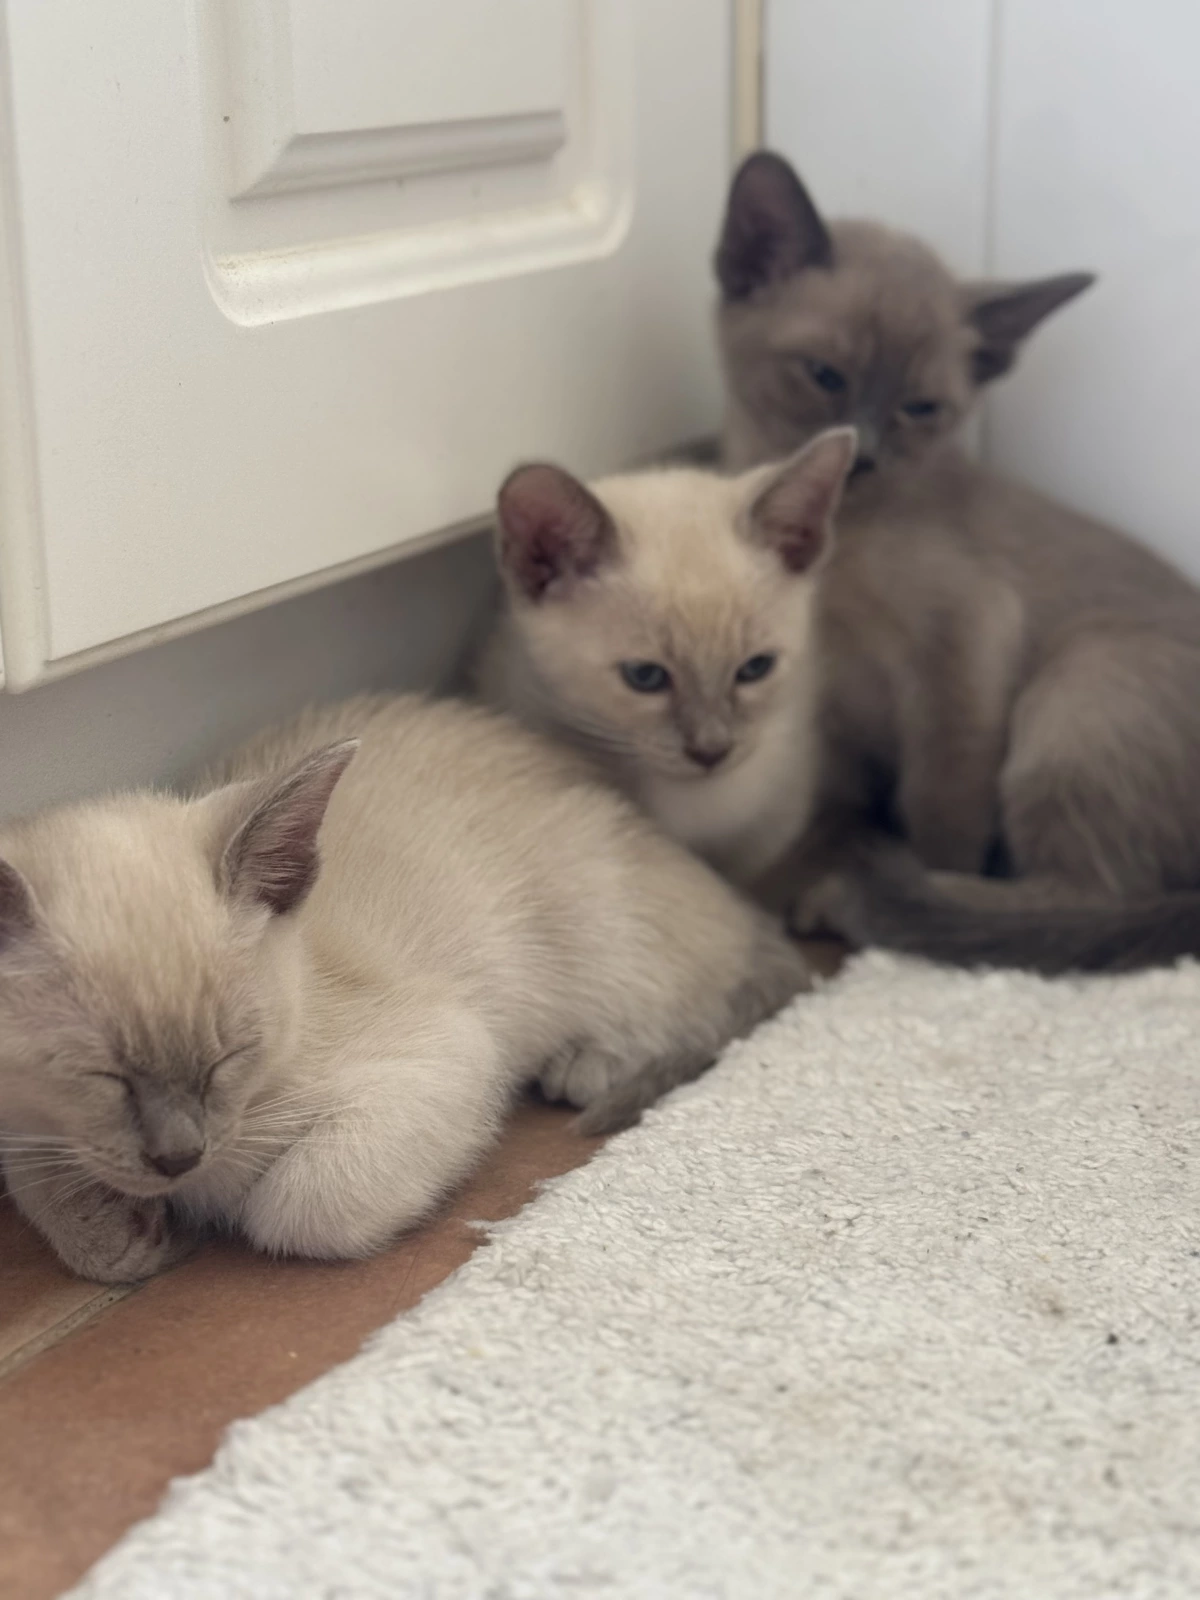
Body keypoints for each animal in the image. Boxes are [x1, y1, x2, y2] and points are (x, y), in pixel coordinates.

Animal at [0, 693, 810, 1284]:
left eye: (232, 1058)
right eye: (98, 1076)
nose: (178, 1158)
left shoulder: (446, 1050)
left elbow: (297, 1208)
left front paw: (203, 1214)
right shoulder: (22, 1115)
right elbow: (44, 1183)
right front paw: (119, 1232)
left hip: (596, 926)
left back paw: (591, 1061)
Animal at [715, 150, 1200, 966]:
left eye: (919, 408)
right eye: (824, 376)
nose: (864, 454)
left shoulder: (963, 649)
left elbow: (942, 810)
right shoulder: (829, 698)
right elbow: (835, 800)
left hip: (1081, 681)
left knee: (1088, 904)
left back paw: (862, 903)